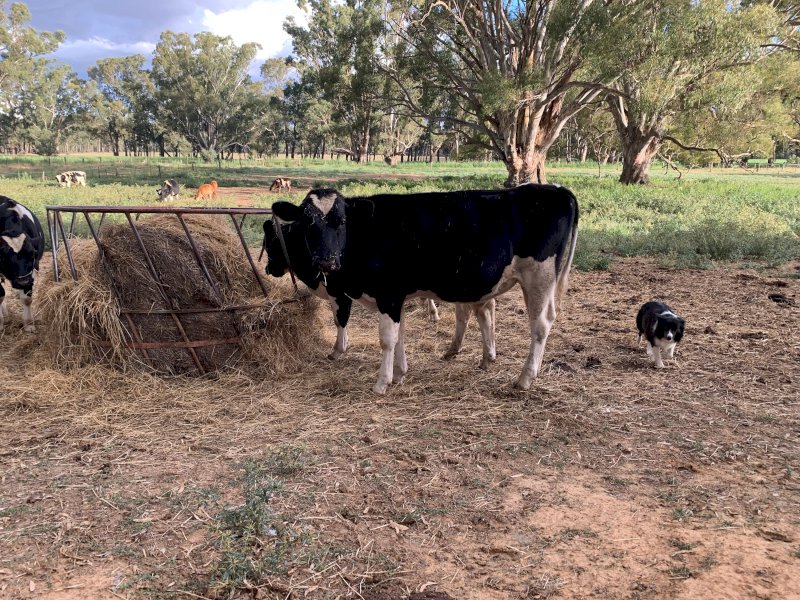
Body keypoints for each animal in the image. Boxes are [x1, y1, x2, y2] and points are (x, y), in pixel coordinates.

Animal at [0, 196, 45, 333]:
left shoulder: (32, 271)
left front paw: (29, 324)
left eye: (32, 255)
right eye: (3, 257)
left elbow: (27, 299)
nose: (22, 282)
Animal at [263, 218, 496, 368]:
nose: (268, 269)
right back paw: (464, 351)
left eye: (271, 244)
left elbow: (340, 320)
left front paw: (338, 350)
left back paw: (484, 356)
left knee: (479, 314)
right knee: (470, 313)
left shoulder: (339, 292)